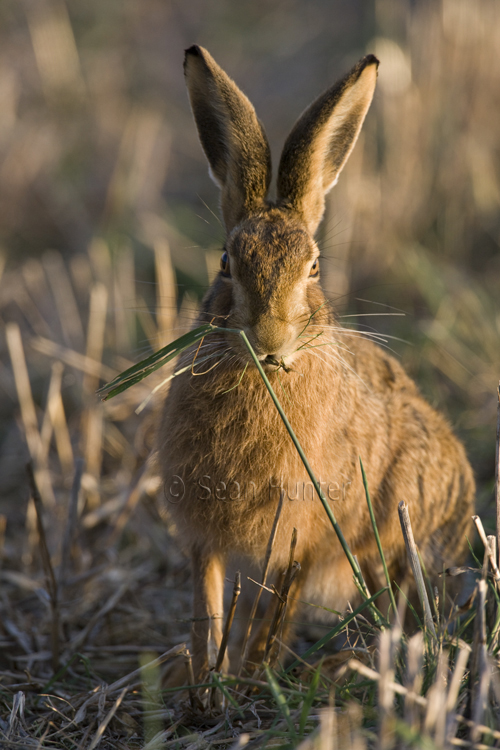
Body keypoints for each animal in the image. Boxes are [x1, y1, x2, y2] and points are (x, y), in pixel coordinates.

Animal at [156, 45, 475, 681]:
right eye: (226, 263)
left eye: (315, 268)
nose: (269, 338)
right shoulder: (203, 535)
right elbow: (206, 604)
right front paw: (205, 686)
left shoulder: (308, 529)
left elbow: (280, 606)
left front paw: (253, 678)